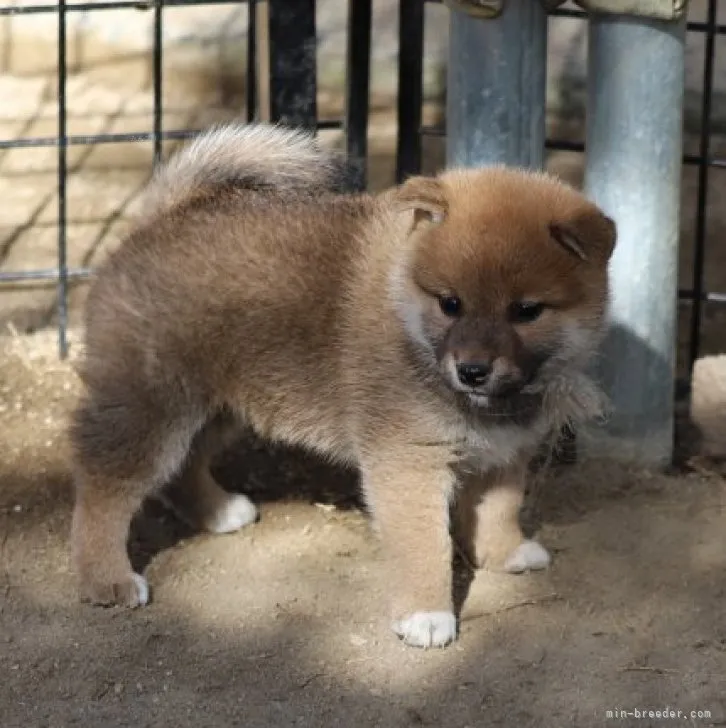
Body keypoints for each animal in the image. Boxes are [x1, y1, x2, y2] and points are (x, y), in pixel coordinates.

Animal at [69, 121, 616, 648]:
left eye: (527, 311)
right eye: (450, 303)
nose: (472, 370)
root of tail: (163, 216)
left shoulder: (505, 453)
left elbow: (499, 510)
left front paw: (504, 554)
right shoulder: (408, 462)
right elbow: (426, 545)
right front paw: (427, 614)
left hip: (218, 407)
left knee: (181, 467)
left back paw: (219, 511)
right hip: (151, 408)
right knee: (105, 488)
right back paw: (106, 578)